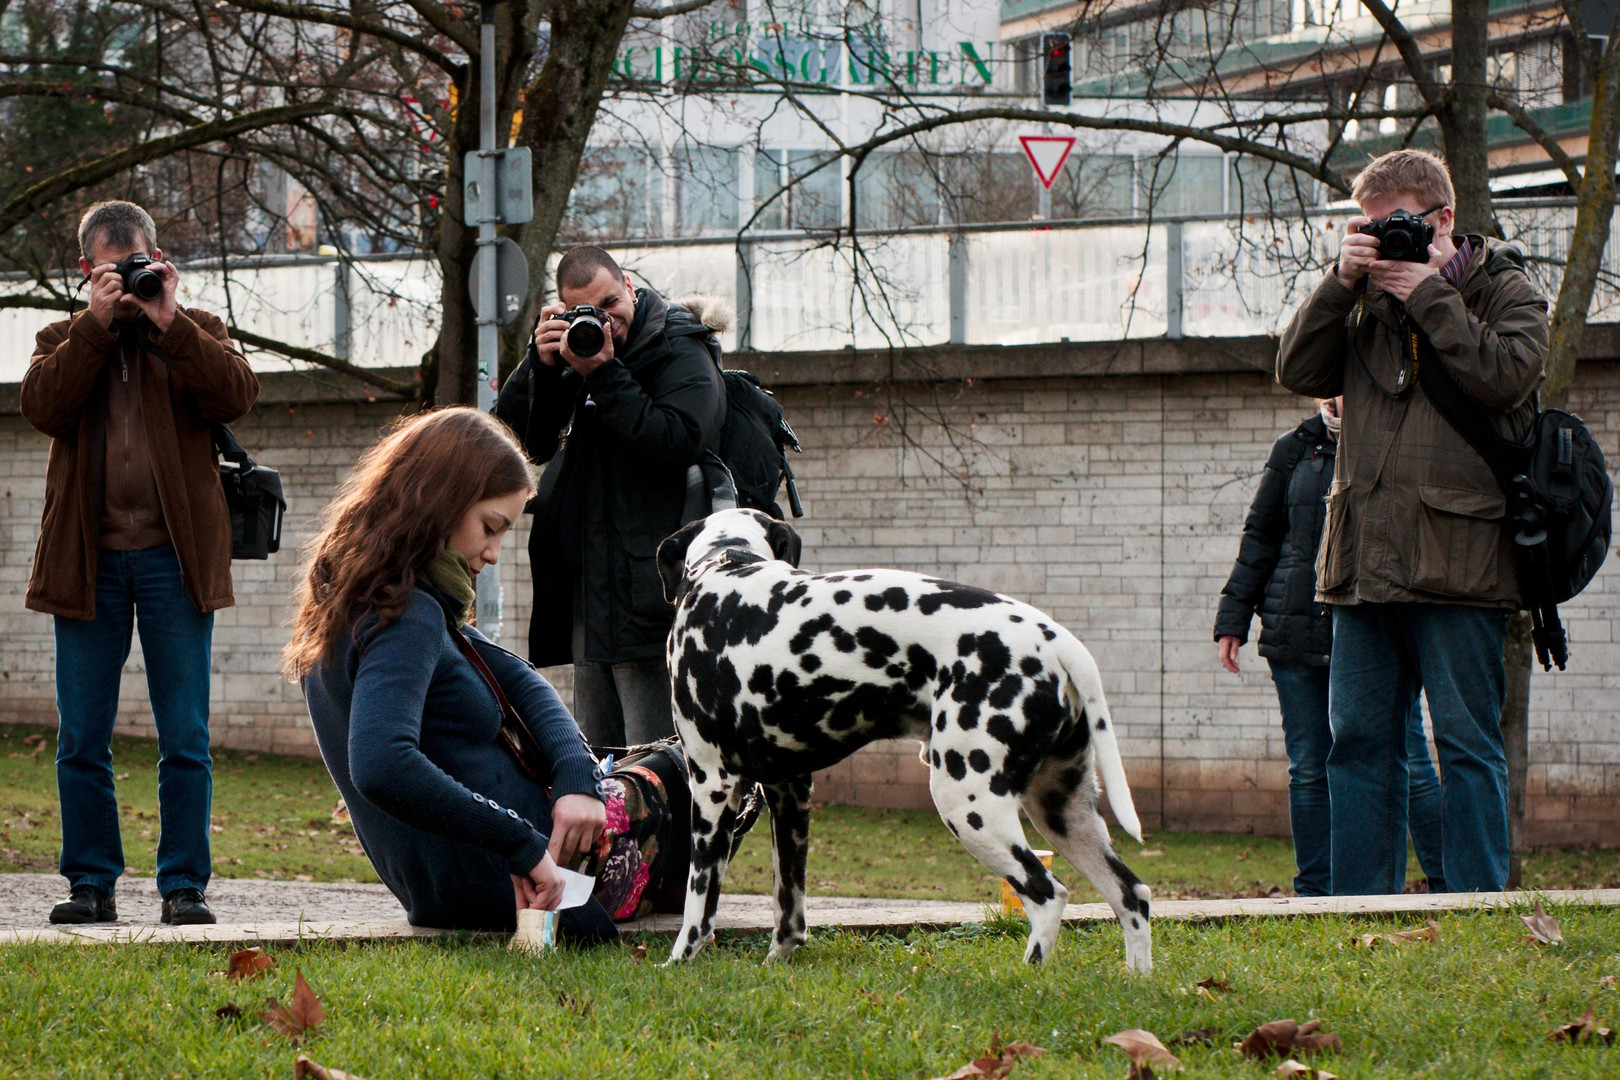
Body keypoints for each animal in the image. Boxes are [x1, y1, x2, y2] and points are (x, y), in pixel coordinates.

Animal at [654, 511, 1153, 977]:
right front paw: (776, 963)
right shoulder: (790, 794)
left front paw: (679, 962)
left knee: (1049, 896)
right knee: (1132, 895)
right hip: (1062, 814)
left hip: (969, 806)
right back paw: (1136, 981)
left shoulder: (712, 787)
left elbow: (698, 903)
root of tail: (1056, 639)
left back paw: (1027, 977)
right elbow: (787, 909)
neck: (728, 565)